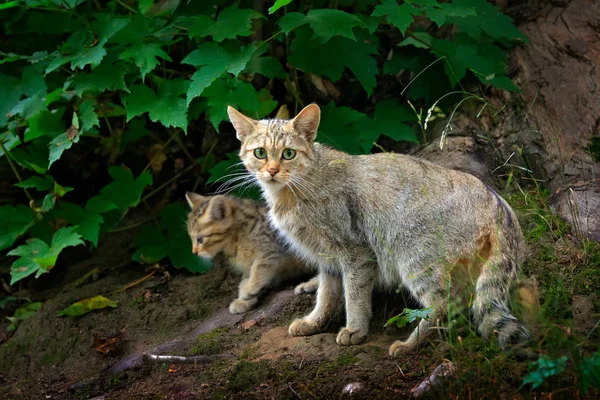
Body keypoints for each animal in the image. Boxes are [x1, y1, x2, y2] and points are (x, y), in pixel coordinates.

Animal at [186, 192, 318, 314]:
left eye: (200, 239)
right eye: (191, 238)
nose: (194, 252)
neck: (236, 239)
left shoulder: (274, 250)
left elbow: (259, 266)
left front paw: (250, 288)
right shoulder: (248, 266)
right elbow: (246, 279)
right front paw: (243, 299)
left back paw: (311, 283)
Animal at [229, 104, 528, 356]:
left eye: (288, 153)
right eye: (260, 153)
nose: (272, 170)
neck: (291, 192)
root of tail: (500, 204)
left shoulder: (355, 252)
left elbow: (354, 295)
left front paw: (355, 330)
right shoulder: (327, 257)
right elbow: (326, 295)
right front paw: (314, 322)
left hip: (412, 255)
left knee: (444, 303)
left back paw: (410, 344)